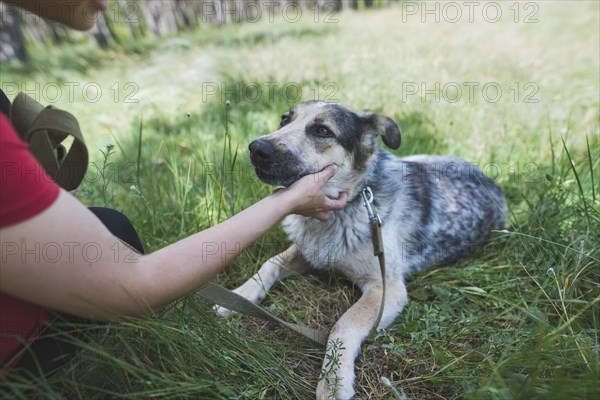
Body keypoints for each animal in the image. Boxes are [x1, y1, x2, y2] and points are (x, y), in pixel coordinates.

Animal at [216, 101, 506, 400]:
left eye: (323, 130)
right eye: (285, 120)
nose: (256, 148)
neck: (348, 205)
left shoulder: (386, 288)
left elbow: (343, 325)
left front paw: (333, 379)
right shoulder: (309, 252)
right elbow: (270, 263)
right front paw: (240, 295)